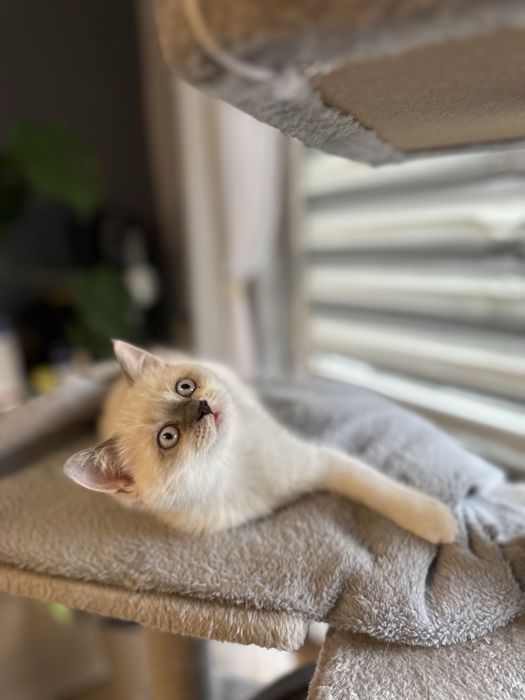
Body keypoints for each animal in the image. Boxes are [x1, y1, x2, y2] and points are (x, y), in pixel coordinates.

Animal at [64, 341, 457, 543]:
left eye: (184, 387)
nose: (202, 407)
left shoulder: (321, 462)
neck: (232, 465)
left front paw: (436, 520)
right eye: (168, 437)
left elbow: (376, 486)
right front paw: (442, 523)